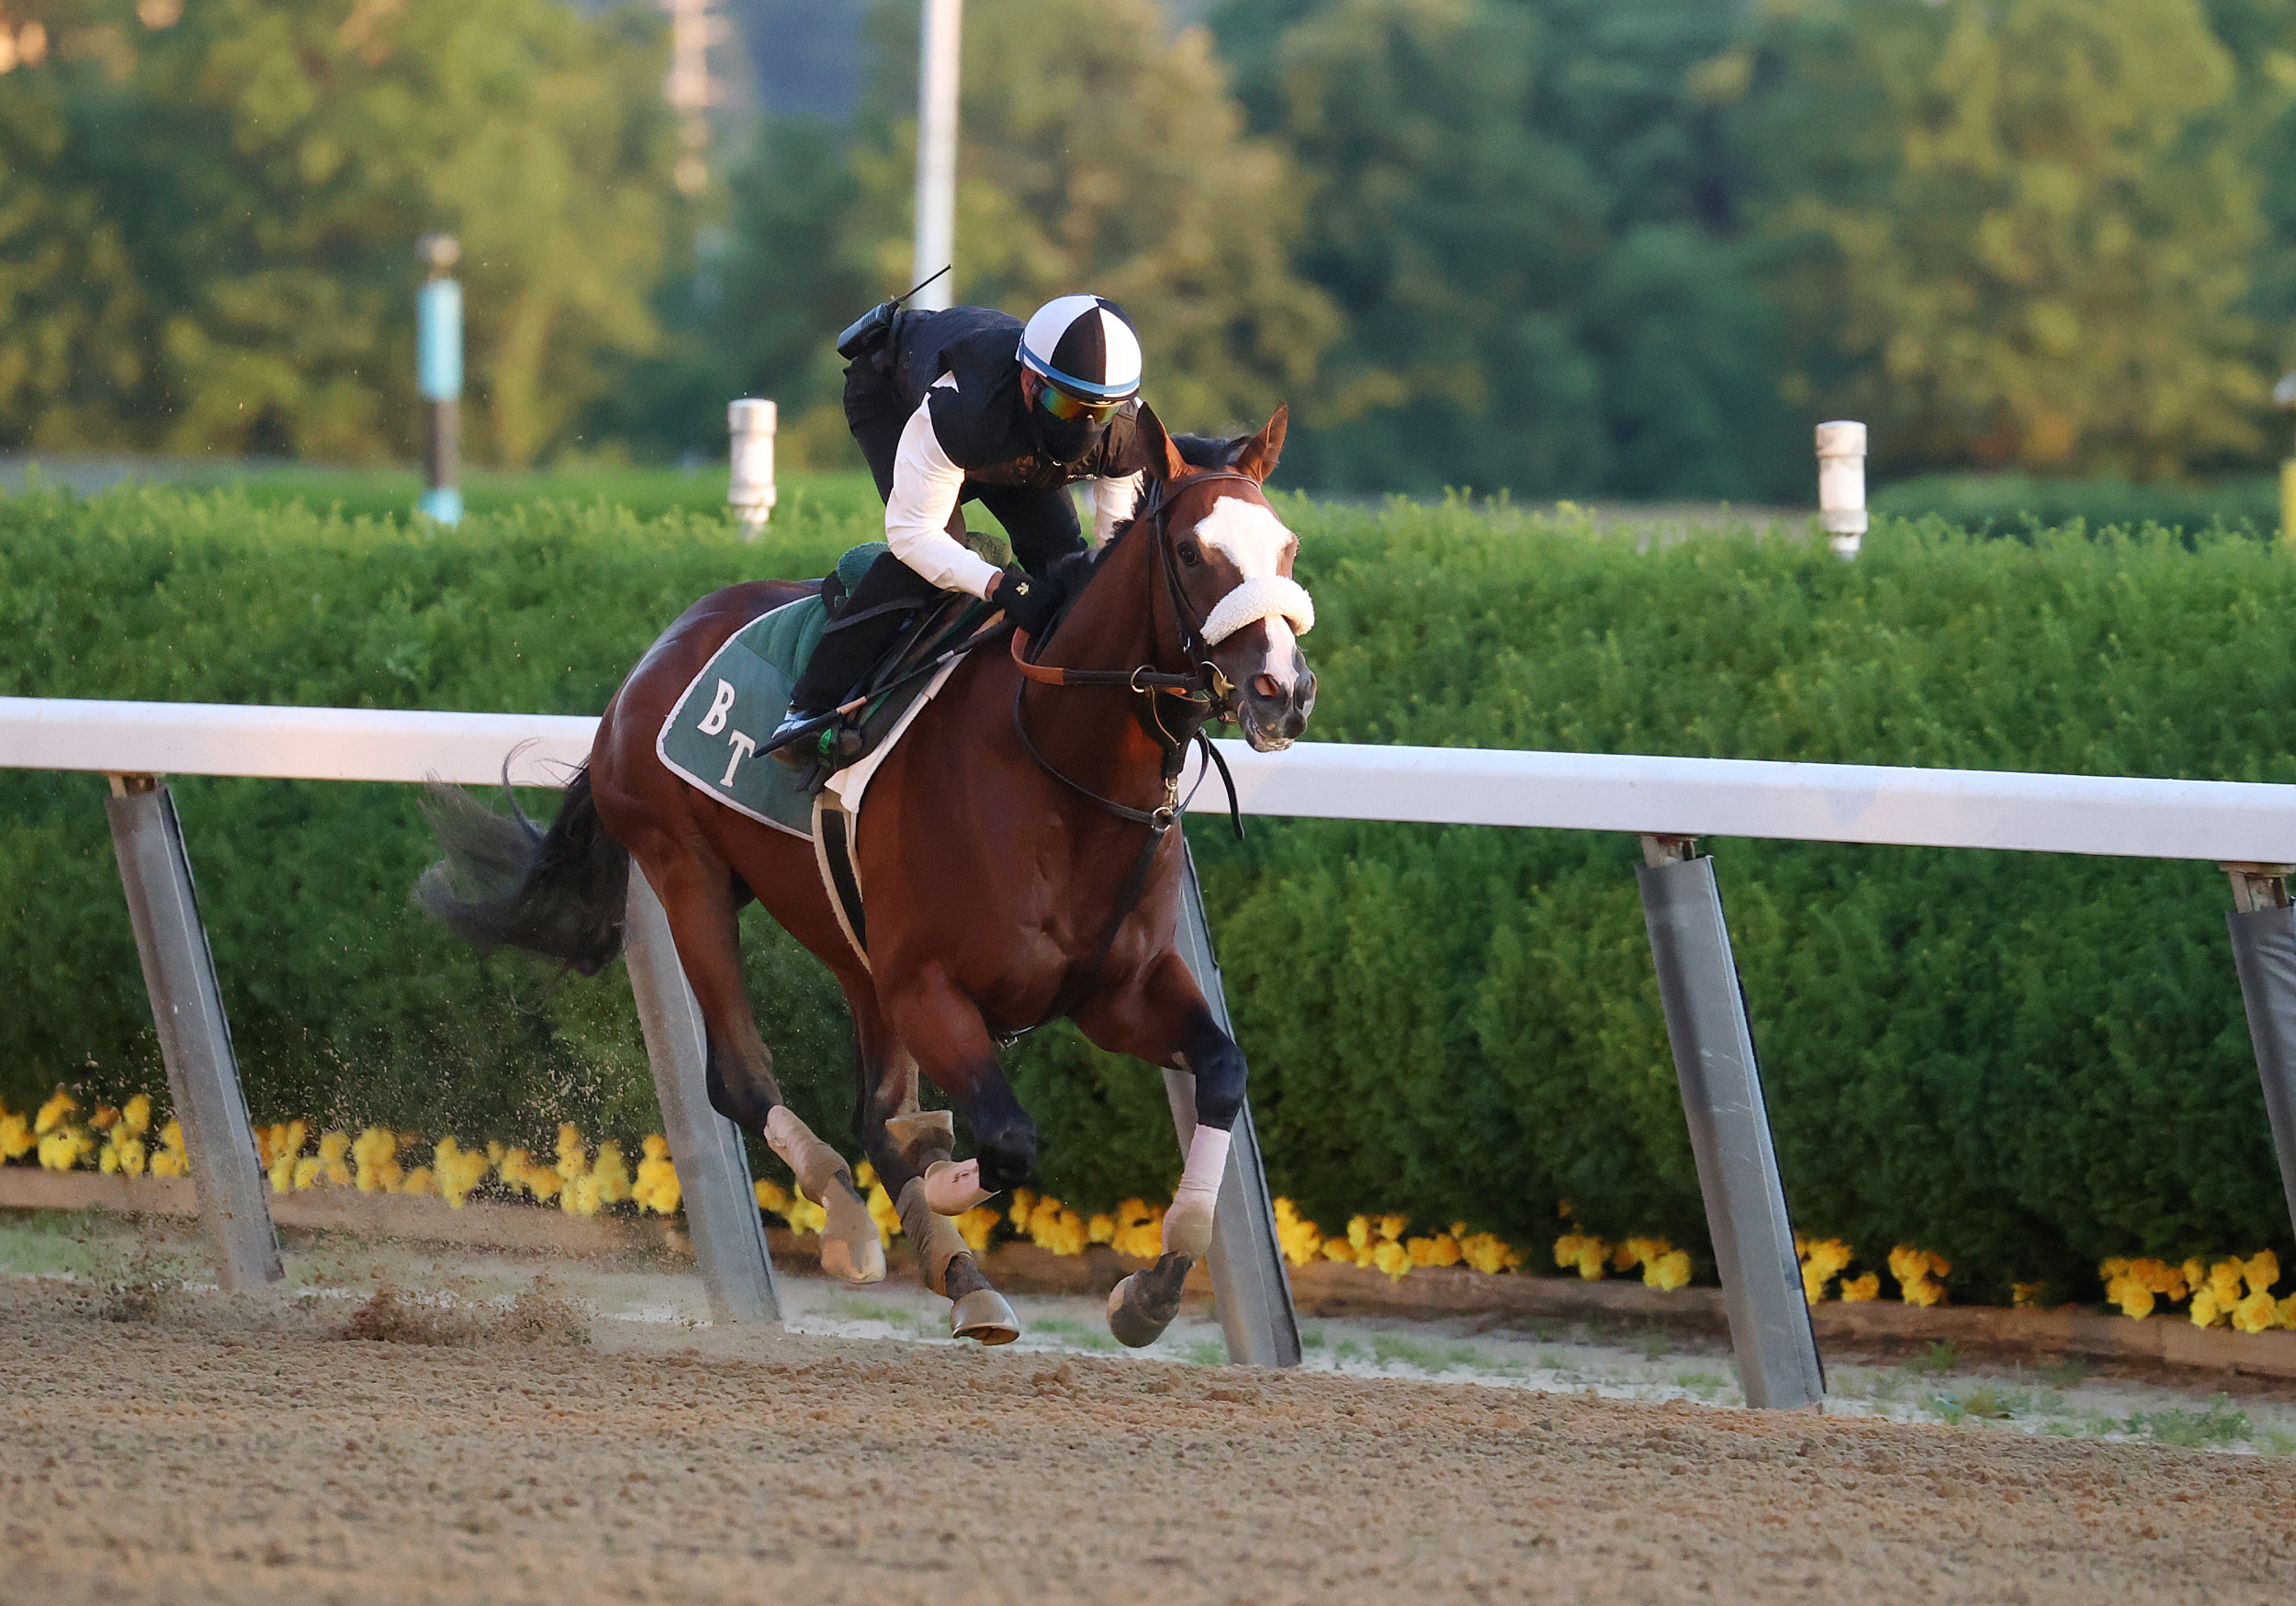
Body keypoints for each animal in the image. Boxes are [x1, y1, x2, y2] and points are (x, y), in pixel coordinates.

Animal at [413, 399, 1313, 1340]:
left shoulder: (1117, 988)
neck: (1059, 770)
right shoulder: (929, 986)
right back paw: (850, 1222)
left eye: (1286, 546)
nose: (1284, 690)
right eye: (1192, 552)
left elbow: (1222, 1071)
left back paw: (960, 1275)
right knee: (743, 1081)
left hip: (848, 937)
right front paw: (942, 1182)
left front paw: (1152, 1287)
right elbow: (1004, 1141)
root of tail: (649, 660)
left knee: (869, 1108)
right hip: (683, 871)